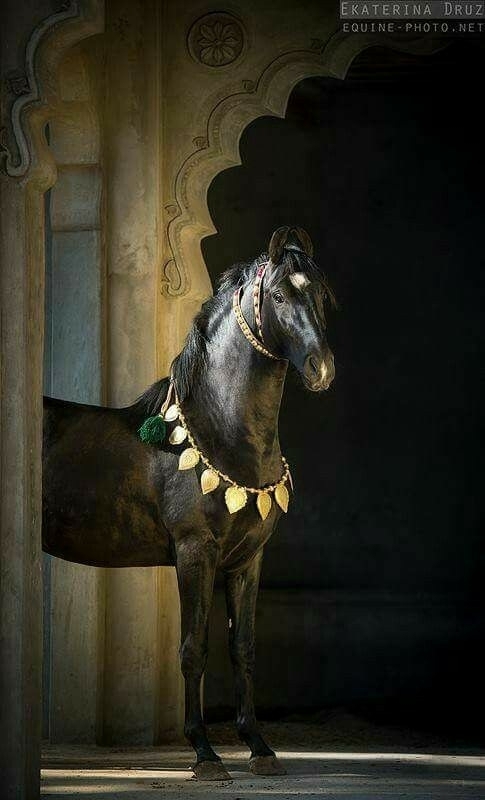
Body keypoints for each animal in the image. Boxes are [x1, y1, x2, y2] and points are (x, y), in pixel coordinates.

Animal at [42, 225, 336, 780]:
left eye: (321, 296)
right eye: (279, 295)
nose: (322, 368)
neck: (221, 431)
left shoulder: (247, 559)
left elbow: (242, 648)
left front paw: (259, 748)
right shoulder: (194, 551)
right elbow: (193, 647)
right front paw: (204, 752)